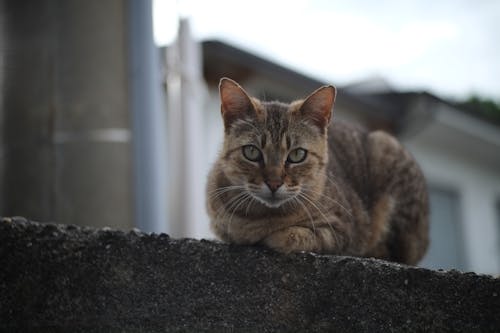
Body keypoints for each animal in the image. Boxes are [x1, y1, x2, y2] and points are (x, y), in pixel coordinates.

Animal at [205, 76, 428, 264]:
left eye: (297, 155)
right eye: (251, 152)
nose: (274, 183)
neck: (262, 217)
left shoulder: (344, 229)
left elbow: (295, 236)